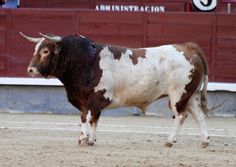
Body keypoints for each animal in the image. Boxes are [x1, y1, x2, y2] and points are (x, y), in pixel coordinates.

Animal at [19, 32, 209, 147]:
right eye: (36, 49)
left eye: (45, 51)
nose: (30, 69)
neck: (86, 61)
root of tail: (188, 46)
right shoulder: (89, 100)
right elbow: (94, 119)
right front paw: (91, 140)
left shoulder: (97, 98)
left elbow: (86, 117)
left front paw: (82, 138)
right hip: (190, 95)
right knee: (198, 115)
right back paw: (205, 141)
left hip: (178, 94)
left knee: (181, 115)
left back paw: (170, 141)